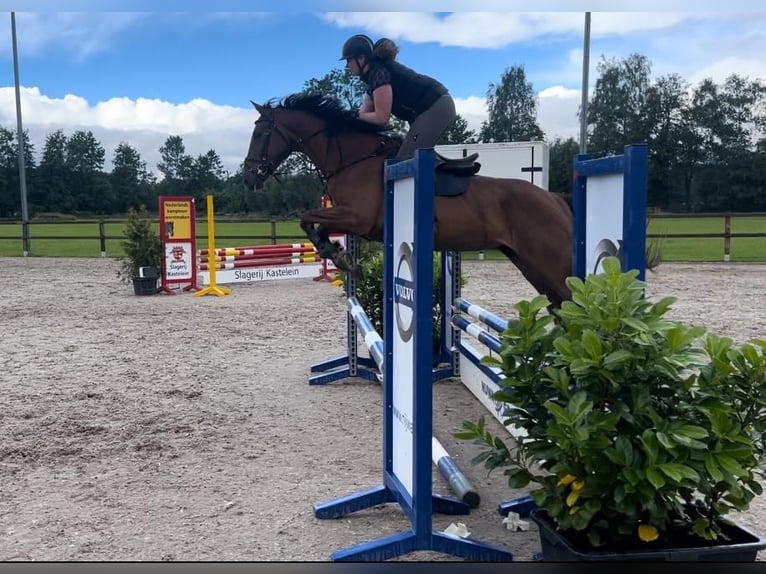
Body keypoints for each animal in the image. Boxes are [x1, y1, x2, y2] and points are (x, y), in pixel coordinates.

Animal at [243, 93, 572, 310]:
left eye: (259, 133)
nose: (248, 177)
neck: (353, 160)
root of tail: (555, 199)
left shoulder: (357, 217)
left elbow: (307, 218)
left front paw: (336, 256)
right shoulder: (349, 218)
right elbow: (313, 223)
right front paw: (337, 254)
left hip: (552, 263)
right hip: (528, 265)